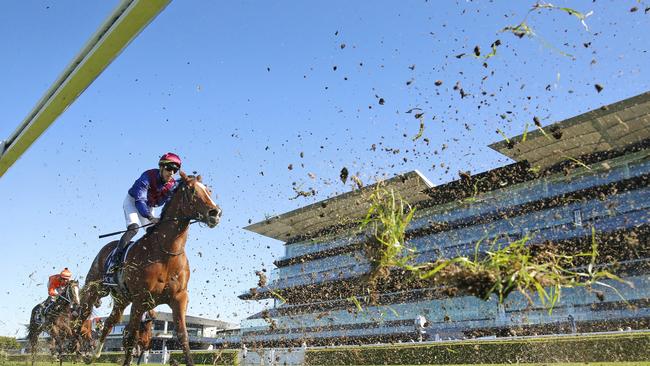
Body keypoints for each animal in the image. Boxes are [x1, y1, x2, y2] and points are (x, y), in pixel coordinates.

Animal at [76, 172, 220, 366]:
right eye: (191, 190)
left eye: (209, 190)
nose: (215, 213)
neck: (166, 252)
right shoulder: (140, 299)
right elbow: (131, 336)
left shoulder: (179, 298)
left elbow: (183, 336)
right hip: (95, 289)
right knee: (82, 315)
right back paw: (75, 347)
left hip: (122, 299)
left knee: (110, 322)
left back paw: (93, 355)